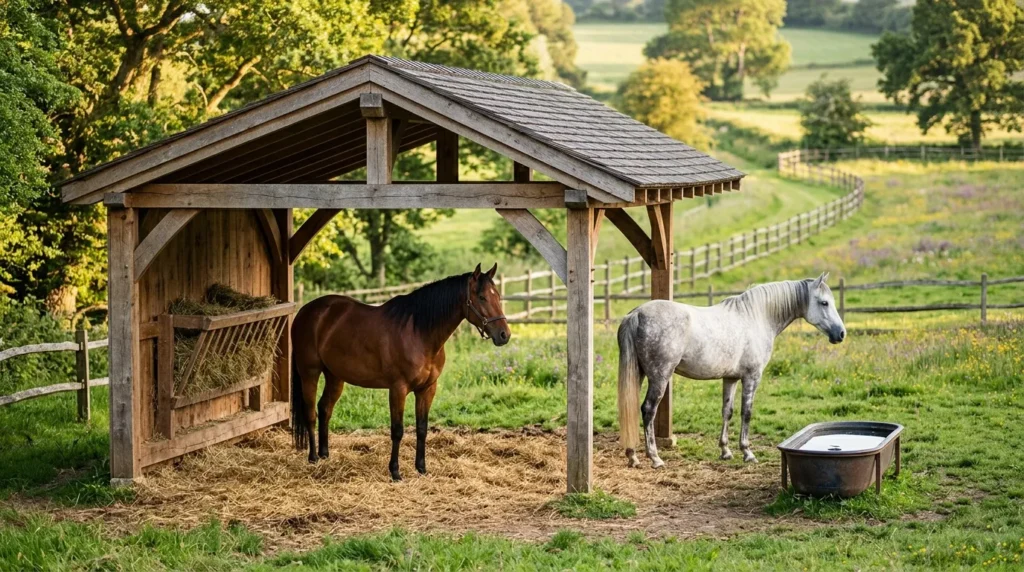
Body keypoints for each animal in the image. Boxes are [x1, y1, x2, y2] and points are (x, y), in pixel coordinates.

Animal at [291, 264, 510, 480]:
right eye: (481, 297)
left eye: (497, 296)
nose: (504, 335)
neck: (418, 333)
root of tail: (305, 311)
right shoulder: (398, 389)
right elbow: (397, 430)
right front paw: (395, 472)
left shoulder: (427, 389)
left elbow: (422, 428)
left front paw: (421, 468)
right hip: (309, 373)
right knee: (310, 413)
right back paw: (313, 458)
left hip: (335, 376)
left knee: (325, 408)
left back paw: (325, 455)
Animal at [617, 272, 846, 469]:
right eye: (824, 302)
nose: (841, 333)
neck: (757, 317)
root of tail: (636, 314)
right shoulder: (752, 377)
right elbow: (747, 412)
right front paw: (747, 452)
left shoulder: (731, 378)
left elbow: (727, 411)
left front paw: (725, 451)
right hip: (660, 377)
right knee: (648, 410)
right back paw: (655, 458)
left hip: (639, 374)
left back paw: (633, 456)